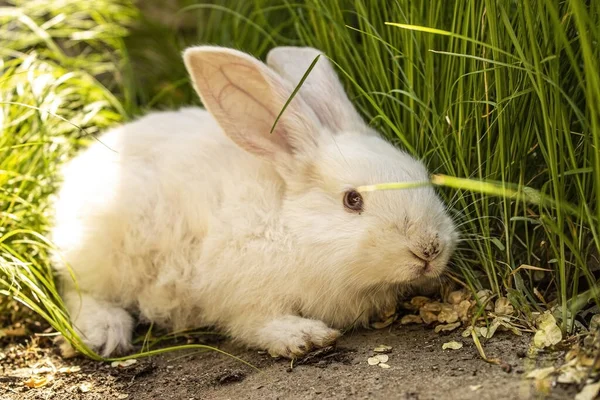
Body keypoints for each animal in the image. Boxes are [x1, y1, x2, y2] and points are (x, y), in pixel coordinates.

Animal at [51, 45, 458, 358]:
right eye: (352, 199)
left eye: (421, 172)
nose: (429, 248)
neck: (292, 229)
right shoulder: (241, 293)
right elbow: (255, 324)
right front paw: (304, 337)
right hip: (111, 251)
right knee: (78, 288)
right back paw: (106, 332)